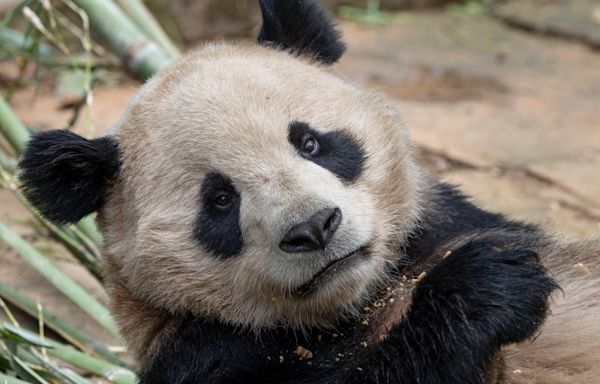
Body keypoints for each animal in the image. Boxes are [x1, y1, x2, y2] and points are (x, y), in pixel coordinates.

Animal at [16, 0, 600, 384]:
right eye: (220, 200)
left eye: (311, 142)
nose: (315, 228)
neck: (358, 302)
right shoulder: (202, 354)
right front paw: (485, 286)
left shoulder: (450, 225)